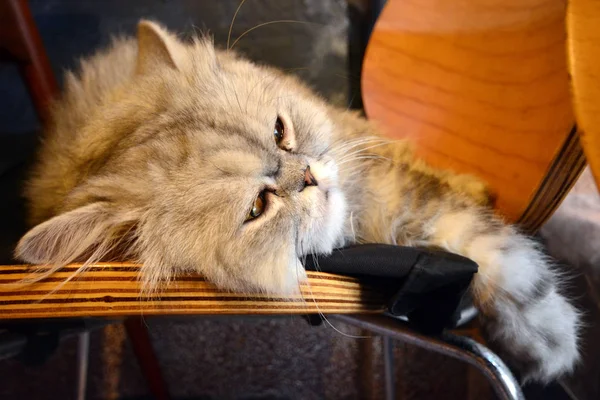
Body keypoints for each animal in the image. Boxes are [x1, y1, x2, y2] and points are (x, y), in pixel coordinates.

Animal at [14, 20, 580, 382]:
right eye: (256, 208)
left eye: (280, 132)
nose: (307, 175)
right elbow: (499, 258)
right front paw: (551, 344)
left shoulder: (389, 185)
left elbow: (499, 258)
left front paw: (548, 342)